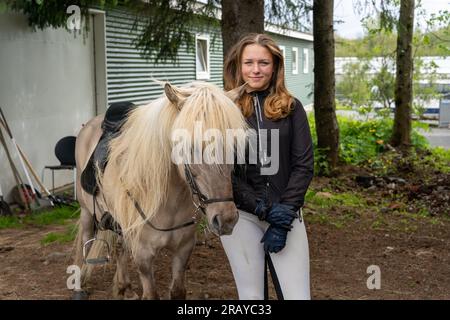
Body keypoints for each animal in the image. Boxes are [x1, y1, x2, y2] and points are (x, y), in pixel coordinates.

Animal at [75, 81, 248, 298]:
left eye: (234, 145)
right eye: (190, 147)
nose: (226, 219)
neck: (169, 201)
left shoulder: (183, 249)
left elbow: (178, 291)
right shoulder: (143, 256)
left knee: (120, 248)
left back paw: (124, 287)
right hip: (87, 212)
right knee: (86, 240)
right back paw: (80, 284)